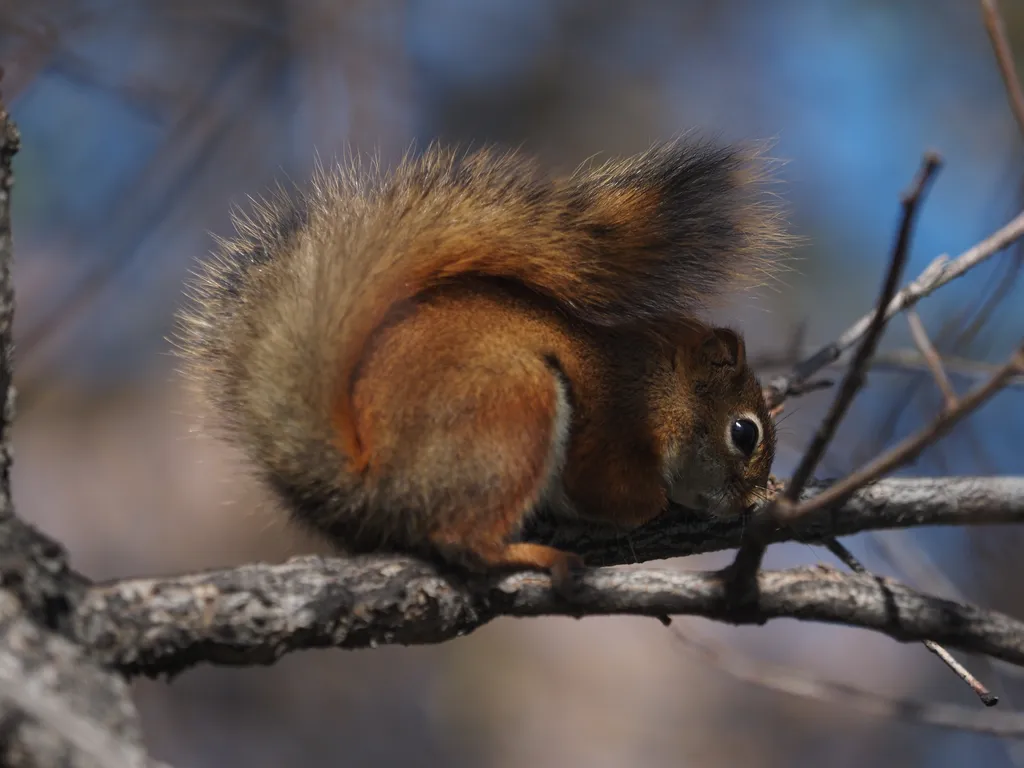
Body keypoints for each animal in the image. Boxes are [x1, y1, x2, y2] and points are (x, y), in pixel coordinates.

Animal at [175, 138, 790, 592]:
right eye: (744, 433)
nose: (748, 500)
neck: (662, 387)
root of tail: (373, 481)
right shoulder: (615, 429)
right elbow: (608, 492)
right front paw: (660, 504)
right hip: (512, 410)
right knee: (463, 541)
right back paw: (534, 555)